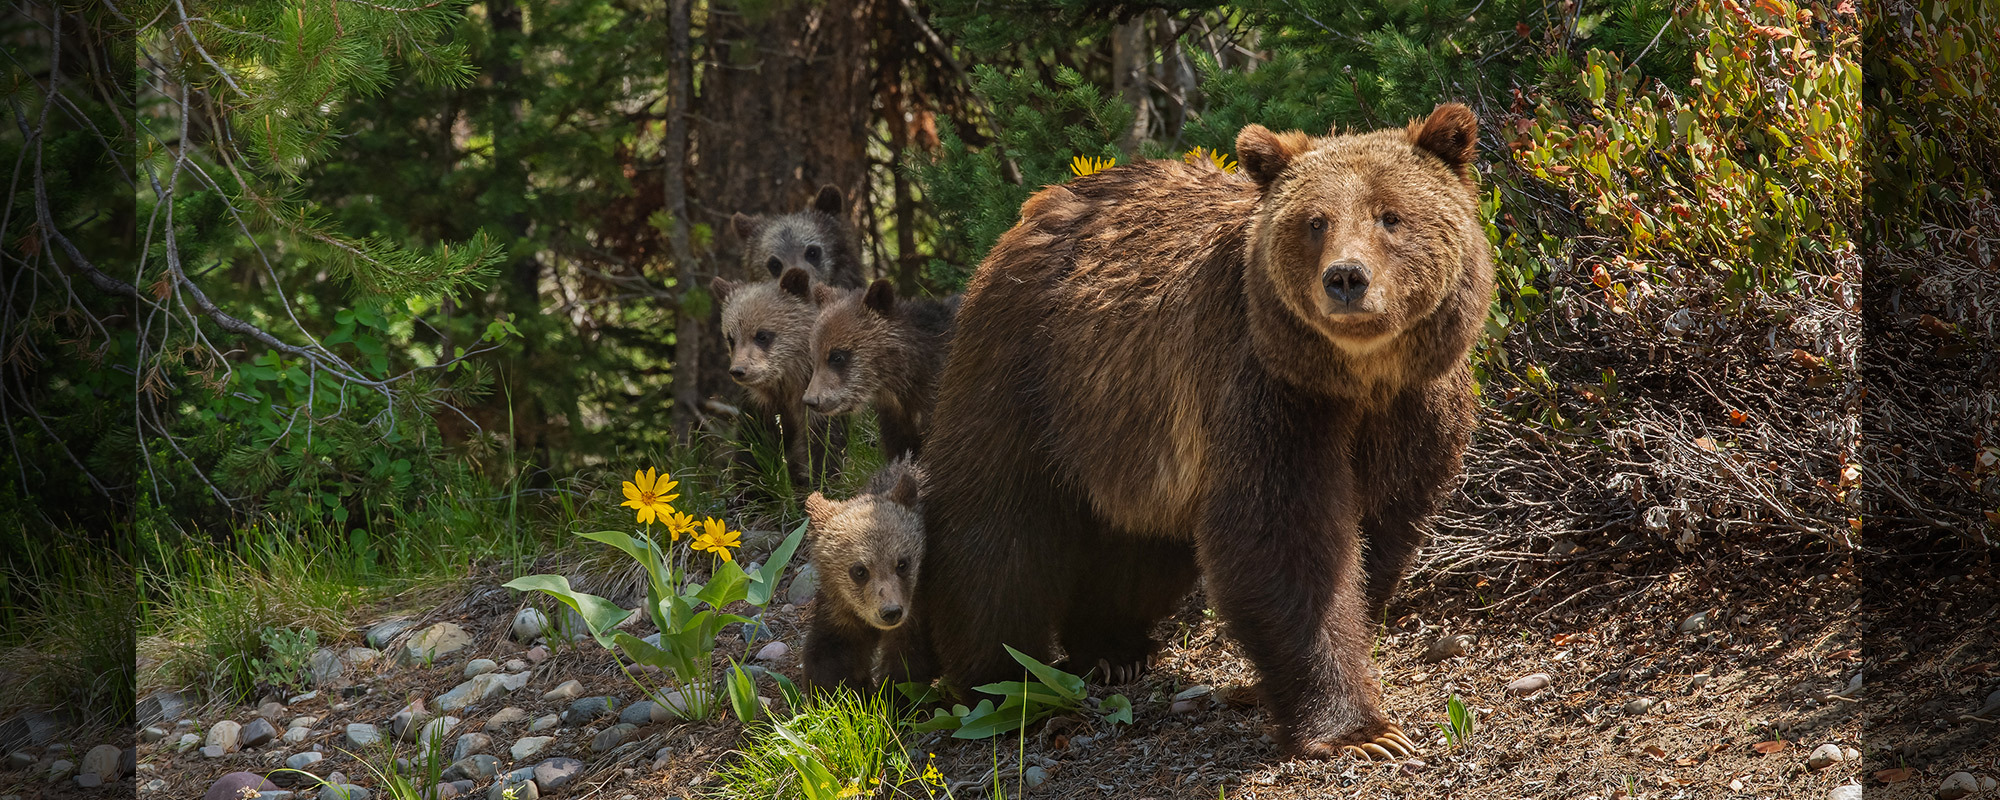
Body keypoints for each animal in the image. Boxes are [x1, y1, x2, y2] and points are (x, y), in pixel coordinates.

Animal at [711, 268, 844, 491]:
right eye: (731, 338)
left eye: (762, 335)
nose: (739, 370)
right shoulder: (761, 405)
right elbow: (753, 449)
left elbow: (825, 447)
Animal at [801, 455, 930, 693]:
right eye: (860, 570)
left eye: (902, 563)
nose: (890, 612)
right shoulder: (840, 610)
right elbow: (829, 656)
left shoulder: (919, 606)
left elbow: (909, 661)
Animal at [910, 104, 1492, 760]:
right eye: (1315, 222)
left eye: (1390, 216)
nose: (1347, 278)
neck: (1358, 377)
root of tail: (1036, 207)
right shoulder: (1265, 394)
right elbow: (1284, 539)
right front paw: (1360, 731)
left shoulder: (1413, 410)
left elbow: (1381, 525)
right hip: (1028, 373)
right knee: (995, 530)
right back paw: (997, 684)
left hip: (1130, 432)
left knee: (1139, 546)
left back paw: (1111, 648)